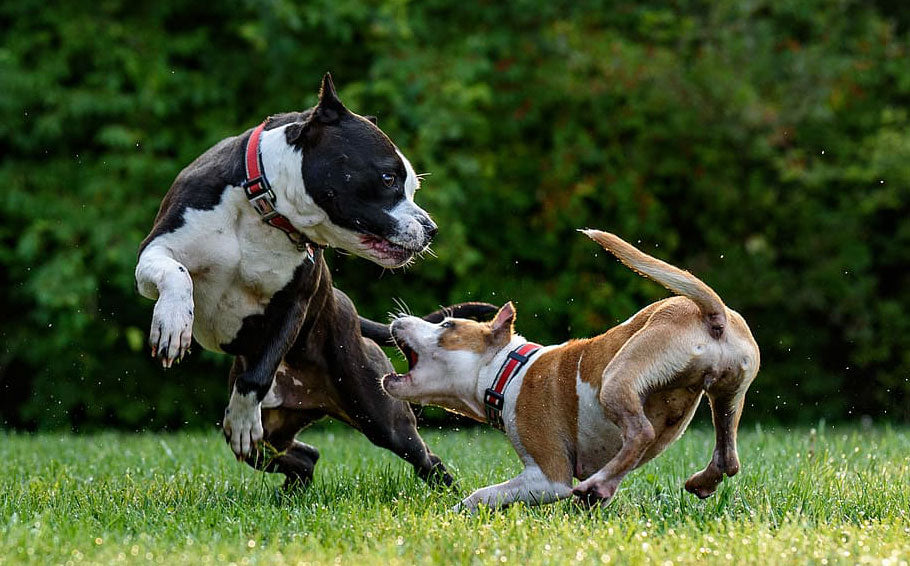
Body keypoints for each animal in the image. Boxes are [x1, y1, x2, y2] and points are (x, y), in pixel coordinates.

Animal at [135, 74, 492, 488]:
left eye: (412, 188)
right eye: (388, 178)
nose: (431, 228)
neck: (264, 209)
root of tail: (347, 307)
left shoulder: (294, 303)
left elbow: (257, 376)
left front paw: (242, 416)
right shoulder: (155, 250)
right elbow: (177, 275)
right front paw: (173, 323)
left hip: (379, 412)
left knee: (424, 458)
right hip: (273, 435)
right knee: (303, 456)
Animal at [384, 229, 764, 512]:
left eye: (447, 325)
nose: (398, 319)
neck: (508, 370)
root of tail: (712, 313)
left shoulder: (548, 477)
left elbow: (482, 495)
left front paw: (456, 513)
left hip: (618, 377)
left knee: (641, 432)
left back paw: (597, 485)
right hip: (727, 395)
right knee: (727, 457)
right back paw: (691, 482)